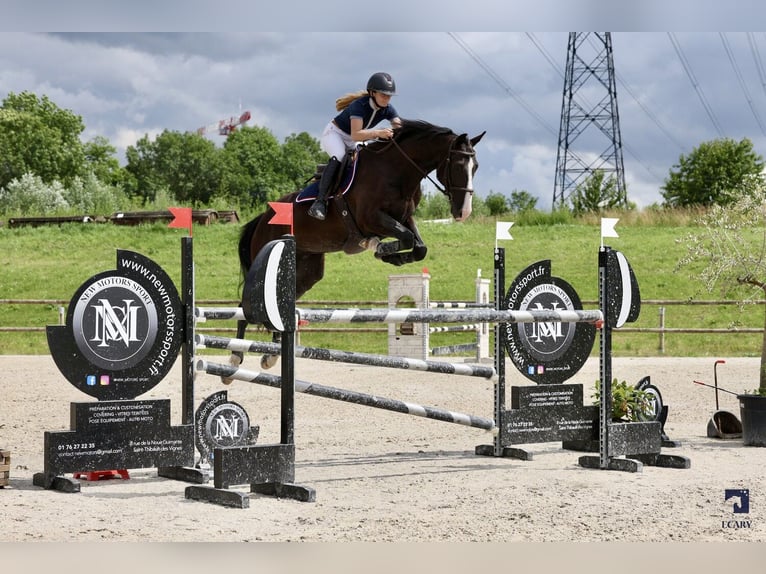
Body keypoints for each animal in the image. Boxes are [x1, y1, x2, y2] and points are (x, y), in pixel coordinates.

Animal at [225, 119, 486, 376]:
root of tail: (262, 217)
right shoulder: (371, 219)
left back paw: (270, 355)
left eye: (475, 167)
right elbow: (406, 238)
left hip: (307, 270)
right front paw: (381, 249)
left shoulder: (405, 217)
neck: (397, 171)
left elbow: (418, 246)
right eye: (458, 165)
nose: (463, 213)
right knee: (244, 306)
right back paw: (235, 357)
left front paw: (394, 257)